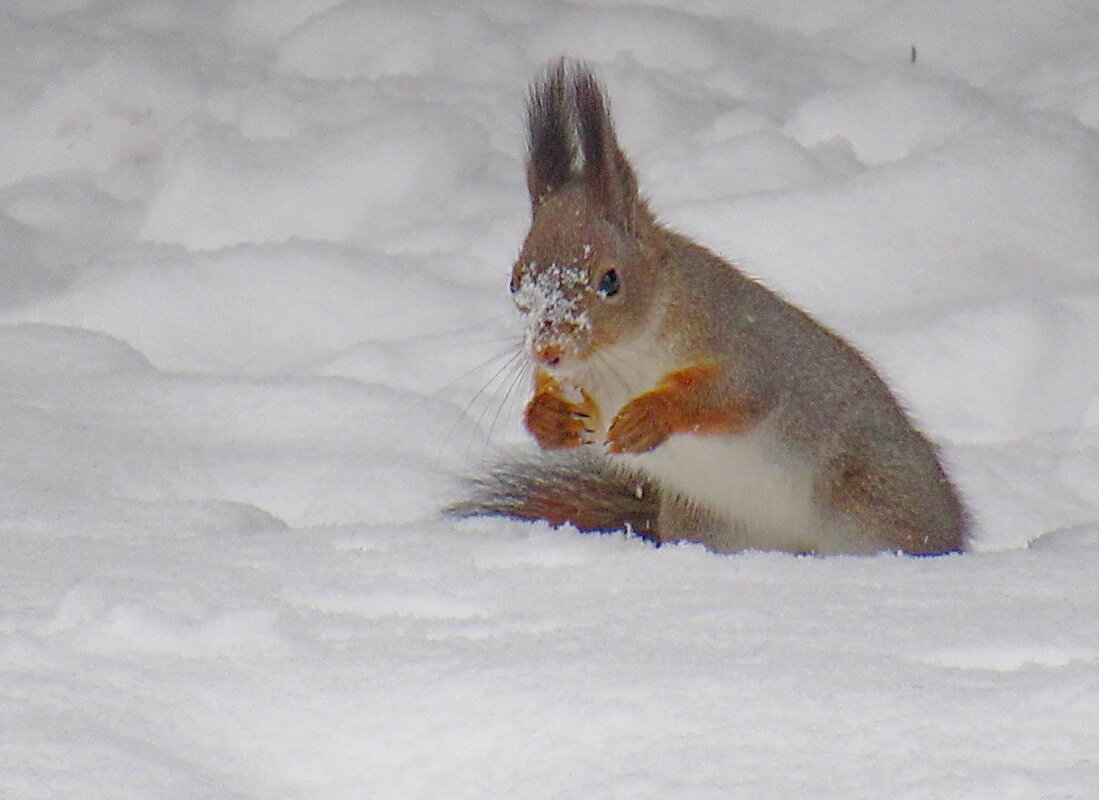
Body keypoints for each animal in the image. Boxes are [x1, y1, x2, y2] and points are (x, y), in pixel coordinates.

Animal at [448, 60, 971, 556]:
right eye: (515, 281)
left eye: (611, 280)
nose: (548, 349)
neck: (621, 357)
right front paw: (549, 417)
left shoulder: (745, 349)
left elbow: (733, 394)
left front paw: (652, 415)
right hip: (706, 523)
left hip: (873, 503)